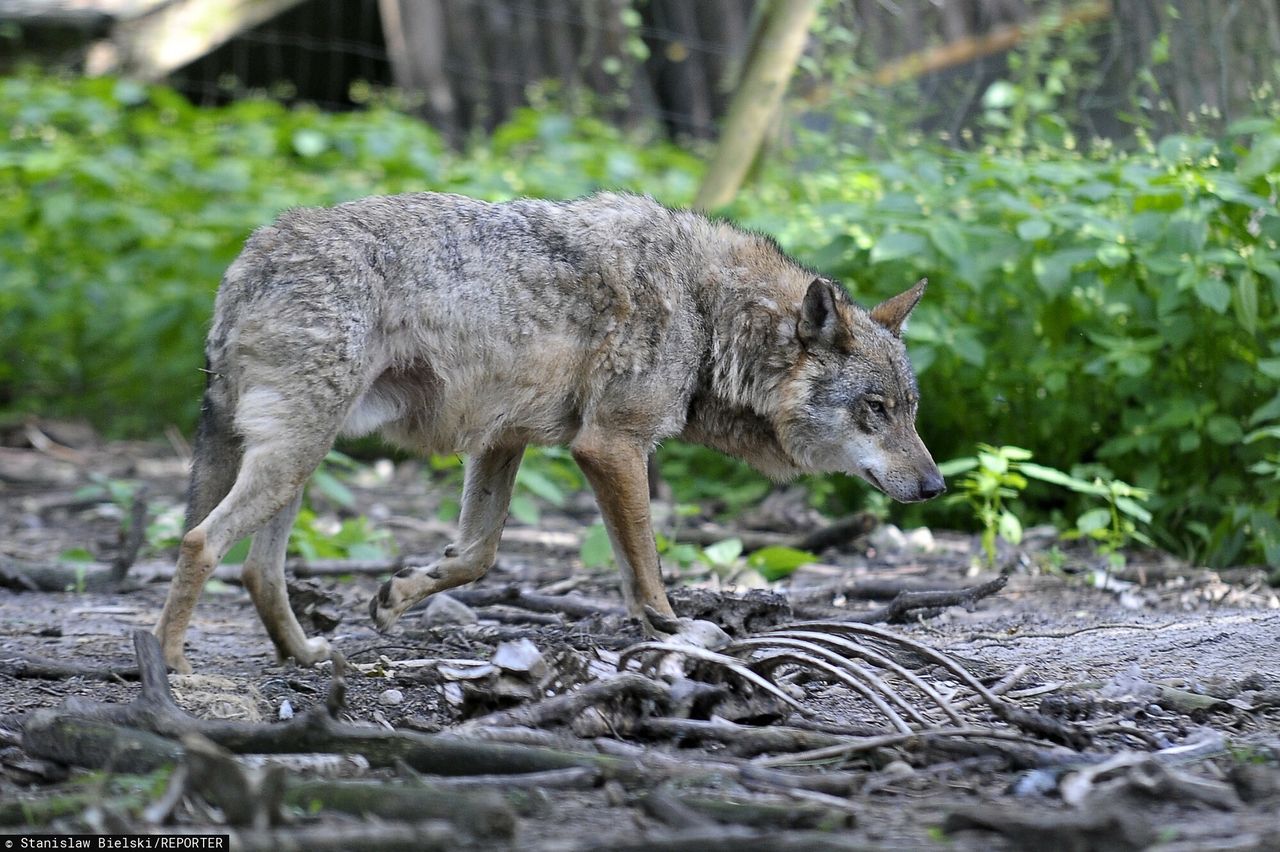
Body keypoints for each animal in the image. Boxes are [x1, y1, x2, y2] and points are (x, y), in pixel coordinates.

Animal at [154, 190, 947, 670]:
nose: (937, 485)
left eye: (909, 410)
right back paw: (169, 667)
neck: (706, 313)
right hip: (297, 454)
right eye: (875, 410)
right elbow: (645, 569)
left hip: (298, 460)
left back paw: (308, 657)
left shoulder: (503, 441)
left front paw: (399, 596)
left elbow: (476, 556)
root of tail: (247, 261)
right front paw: (677, 632)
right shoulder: (610, 448)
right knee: (199, 542)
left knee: (257, 569)